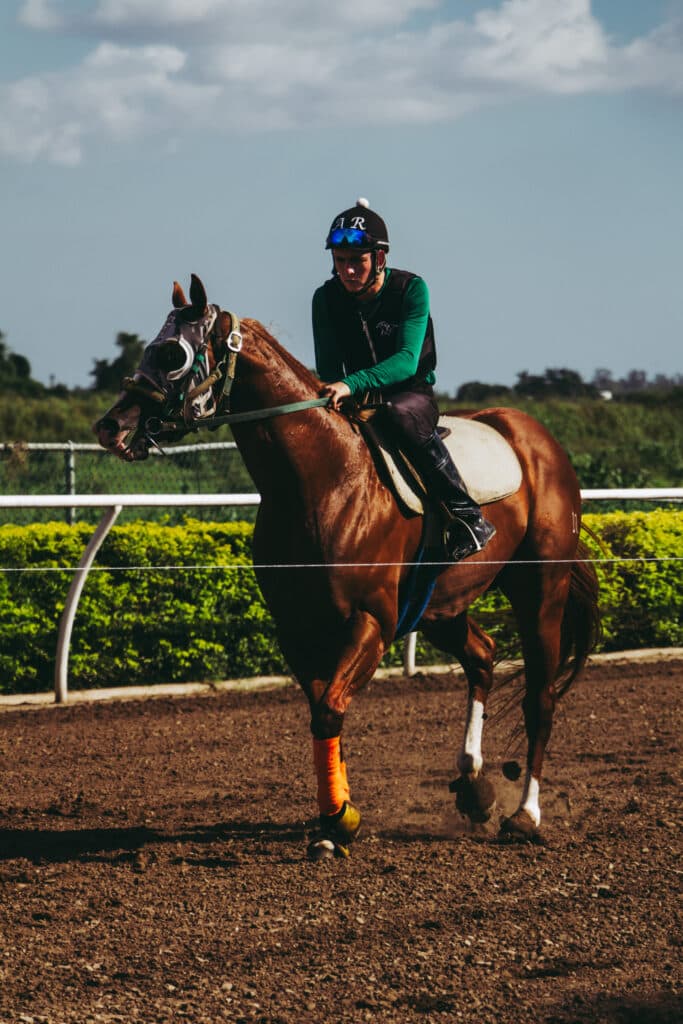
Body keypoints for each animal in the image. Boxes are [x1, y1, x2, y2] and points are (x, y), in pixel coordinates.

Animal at [95, 274, 600, 859]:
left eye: (173, 354)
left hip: (541, 585)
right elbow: (321, 713)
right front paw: (335, 819)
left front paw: (339, 820)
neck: (320, 481)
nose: (111, 427)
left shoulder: (371, 621)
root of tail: (537, 438)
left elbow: (331, 708)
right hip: (440, 605)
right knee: (482, 656)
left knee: (541, 694)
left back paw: (526, 814)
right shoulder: (299, 627)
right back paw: (474, 786)